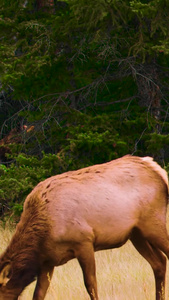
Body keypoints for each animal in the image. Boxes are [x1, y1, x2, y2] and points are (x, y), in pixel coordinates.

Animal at [0, 155, 168, 300]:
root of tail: (158, 170)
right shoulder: (48, 261)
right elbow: (39, 293)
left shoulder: (84, 241)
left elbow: (90, 284)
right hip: (136, 233)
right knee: (159, 262)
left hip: (153, 223)